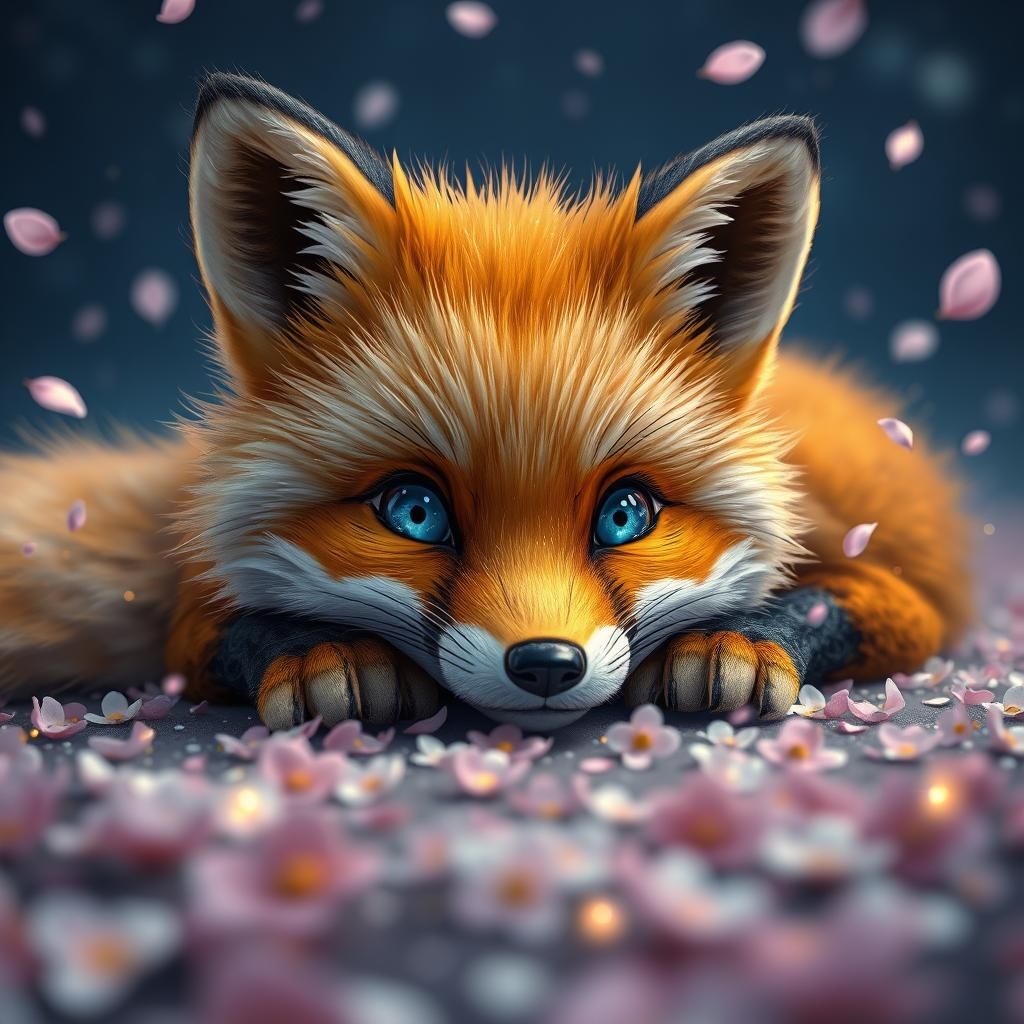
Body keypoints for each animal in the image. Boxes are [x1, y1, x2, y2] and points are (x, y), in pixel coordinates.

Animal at [0, 73, 970, 732]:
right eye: (413, 510)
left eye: (628, 514)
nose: (546, 665)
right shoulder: (196, 609)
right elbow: (218, 621)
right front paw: (322, 651)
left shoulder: (898, 579)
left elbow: (830, 596)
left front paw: (736, 640)